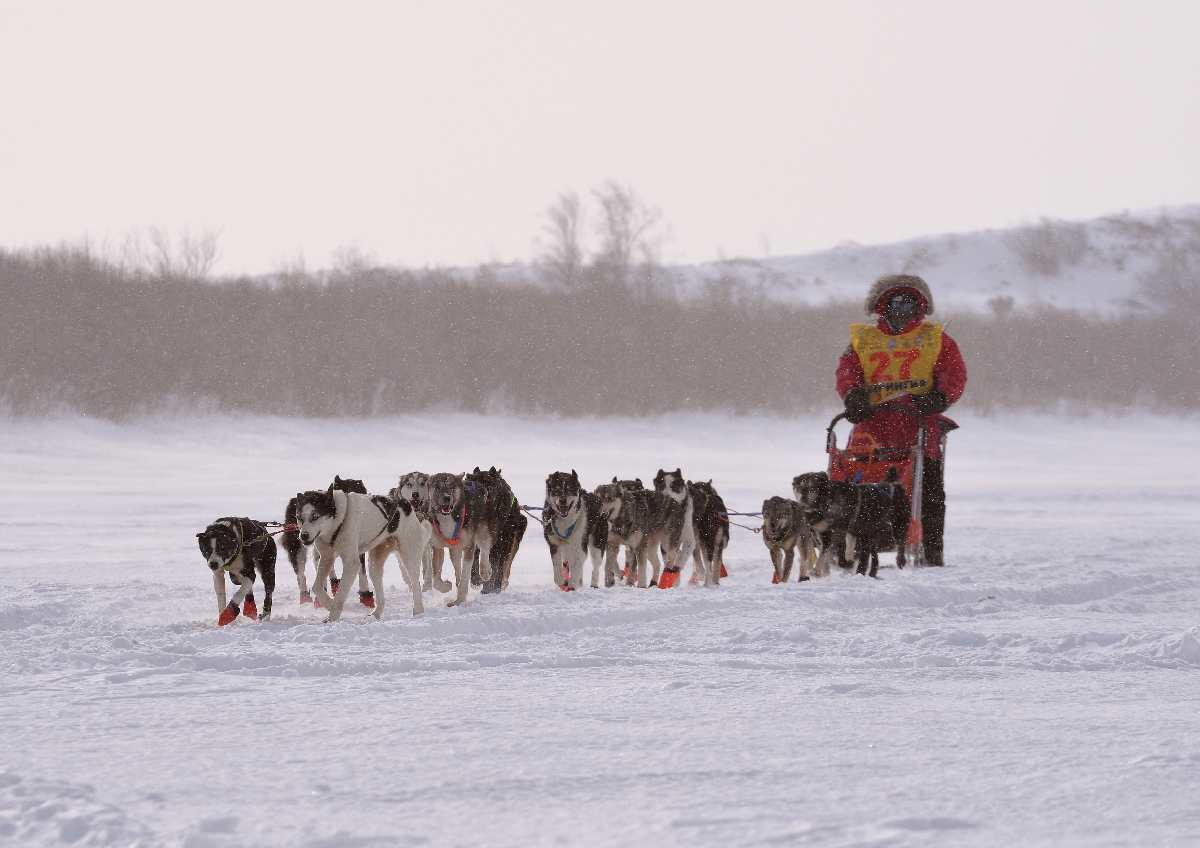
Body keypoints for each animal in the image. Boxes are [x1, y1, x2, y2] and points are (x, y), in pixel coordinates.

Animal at [291, 486, 432, 618]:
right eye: (299, 517)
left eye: (315, 517)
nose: (303, 536)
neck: (338, 522)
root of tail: (406, 506)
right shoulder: (327, 558)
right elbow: (316, 587)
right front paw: (328, 603)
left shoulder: (351, 564)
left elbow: (340, 596)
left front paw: (332, 617)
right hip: (374, 564)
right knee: (381, 595)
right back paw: (375, 614)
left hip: (409, 558)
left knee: (415, 585)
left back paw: (418, 612)